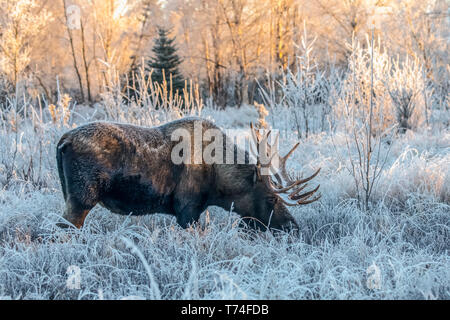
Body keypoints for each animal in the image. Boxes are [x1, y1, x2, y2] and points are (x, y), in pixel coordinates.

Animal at [56, 117, 320, 232]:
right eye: (271, 198)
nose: (293, 226)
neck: (219, 187)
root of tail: (63, 141)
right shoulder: (187, 211)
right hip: (81, 200)